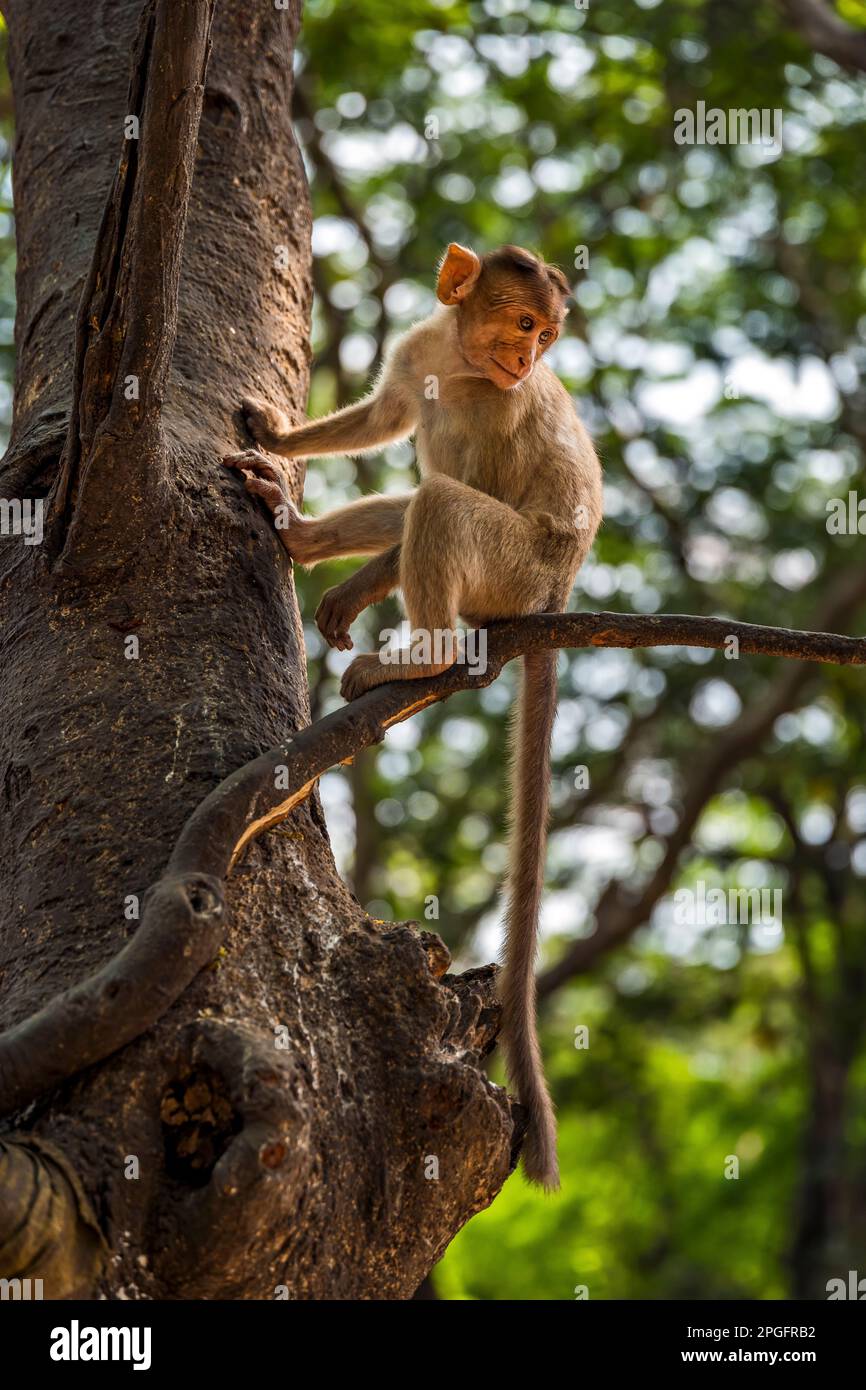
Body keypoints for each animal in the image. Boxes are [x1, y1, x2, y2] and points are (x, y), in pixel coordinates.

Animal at [223, 244, 603, 1189]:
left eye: (545, 338)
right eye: (523, 325)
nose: (528, 360)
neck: (463, 362)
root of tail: (561, 591)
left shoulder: (500, 409)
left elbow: (459, 481)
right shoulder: (418, 355)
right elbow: (388, 418)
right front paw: (279, 440)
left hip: (517, 569)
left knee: (440, 505)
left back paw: (419, 657)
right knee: (414, 501)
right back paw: (306, 540)